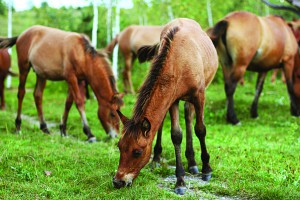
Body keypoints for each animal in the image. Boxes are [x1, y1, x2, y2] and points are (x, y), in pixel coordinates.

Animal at [112, 18, 218, 195]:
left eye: (137, 152)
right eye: (119, 147)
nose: (118, 182)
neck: (180, 61)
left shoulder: (199, 95)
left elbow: (200, 129)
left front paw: (206, 169)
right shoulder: (172, 99)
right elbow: (176, 135)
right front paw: (180, 180)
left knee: (189, 116)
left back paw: (193, 163)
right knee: (164, 122)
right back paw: (159, 158)